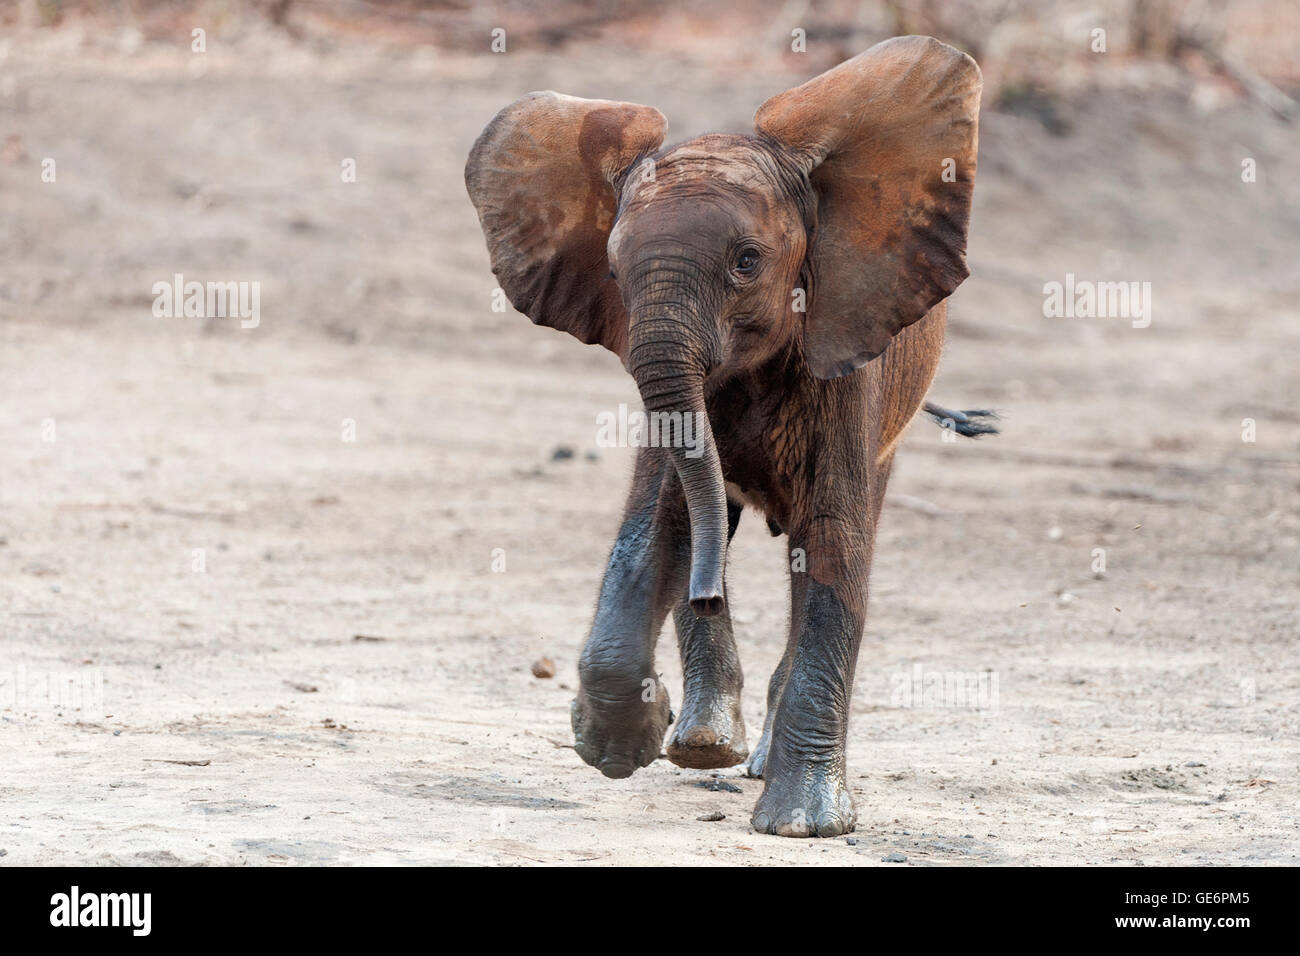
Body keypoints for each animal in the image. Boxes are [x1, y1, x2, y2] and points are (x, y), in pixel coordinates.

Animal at [465, 36, 993, 837]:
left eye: (747, 263)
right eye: (612, 269)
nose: (711, 595)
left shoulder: (847, 357)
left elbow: (834, 546)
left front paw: (805, 825)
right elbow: (660, 521)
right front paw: (625, 744)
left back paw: (758, 764)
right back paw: (705, 747)